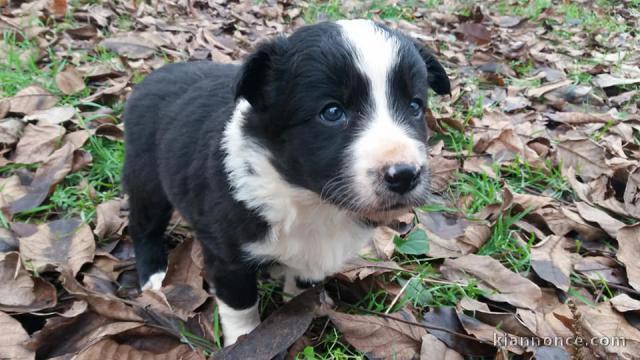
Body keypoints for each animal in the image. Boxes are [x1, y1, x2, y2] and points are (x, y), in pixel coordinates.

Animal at [121, 19, 450, 346]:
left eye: (415, 106)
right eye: (332, 112)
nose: (405, 175)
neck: (309, 198)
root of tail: (155, 74)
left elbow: (304, 280)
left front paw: (300, 304)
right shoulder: (228, 255)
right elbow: (240, 307)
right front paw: (244, 340)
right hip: (146, 176)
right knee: (144, 226)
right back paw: (154, 277)